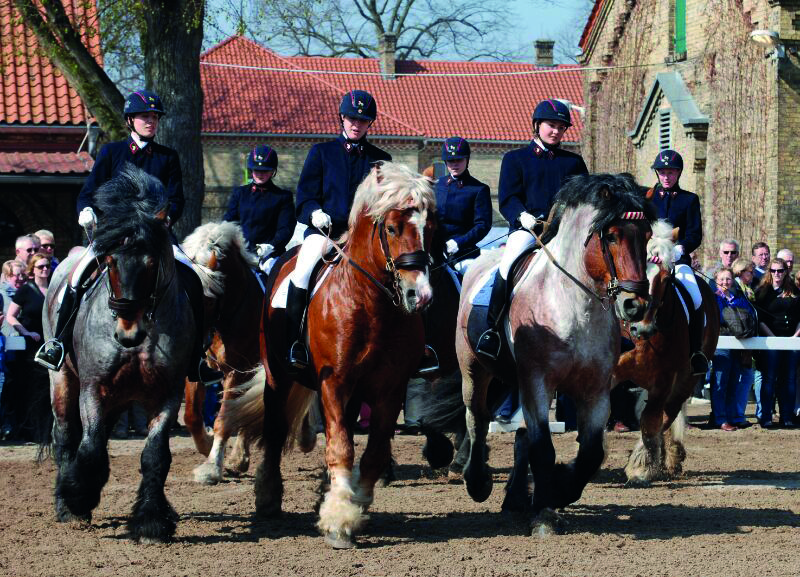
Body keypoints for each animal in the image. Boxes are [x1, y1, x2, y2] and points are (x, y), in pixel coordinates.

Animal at [44, 165, 195, 540]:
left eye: (153, 262)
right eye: (108, 262)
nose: (128, 334)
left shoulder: (167, 393)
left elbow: (155, 455)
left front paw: (151, 520)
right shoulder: (92, 387)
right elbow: (90, 446)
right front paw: (77, 498)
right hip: (62, 379)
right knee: (66, 436)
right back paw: (66, 505)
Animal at [180, 223, 260, 484]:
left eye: (207, 300)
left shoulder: (238, 371)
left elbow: (224, 419)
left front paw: (212, 468)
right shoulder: (198, 368)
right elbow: (192, 416)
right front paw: (207, 446)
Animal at [456, 172, 656, 536]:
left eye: (647, 235)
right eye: (612, 236)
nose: (635, 305)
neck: (573, 305)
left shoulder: (595, 390)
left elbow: (591, 453)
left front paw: (560, 487)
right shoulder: (538, 383)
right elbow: (543, 448)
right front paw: (546, 514)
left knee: (518, 434)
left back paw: (516, 497)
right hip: (474, 369)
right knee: (477, 418)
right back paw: (477, 482)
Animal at [616, 220, 720, 486]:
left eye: (665, 279)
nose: (641, 326)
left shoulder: (663, 380)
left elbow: (651, 421)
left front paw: (641, 467)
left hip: (685, 380)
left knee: (667, 415)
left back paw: (667, 455)